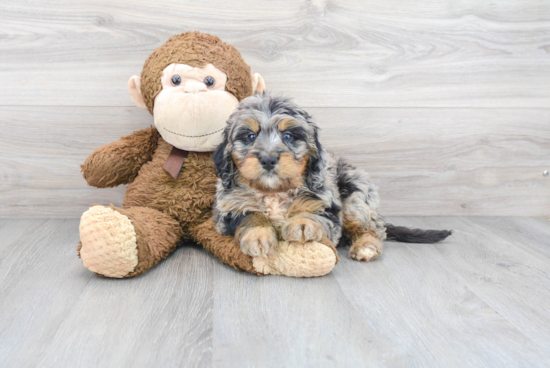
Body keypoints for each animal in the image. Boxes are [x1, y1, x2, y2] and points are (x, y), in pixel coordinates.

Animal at [212, 93, 452, 260]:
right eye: (250, 136)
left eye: (288, 135)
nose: (269, 159)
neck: (274, 191)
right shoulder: (228, 210)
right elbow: (251, 215)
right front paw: (259, 237)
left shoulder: (327, 206)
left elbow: (313, 213)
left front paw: (302, 223)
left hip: (355, 196)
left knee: (373, 228)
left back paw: (365, 246)